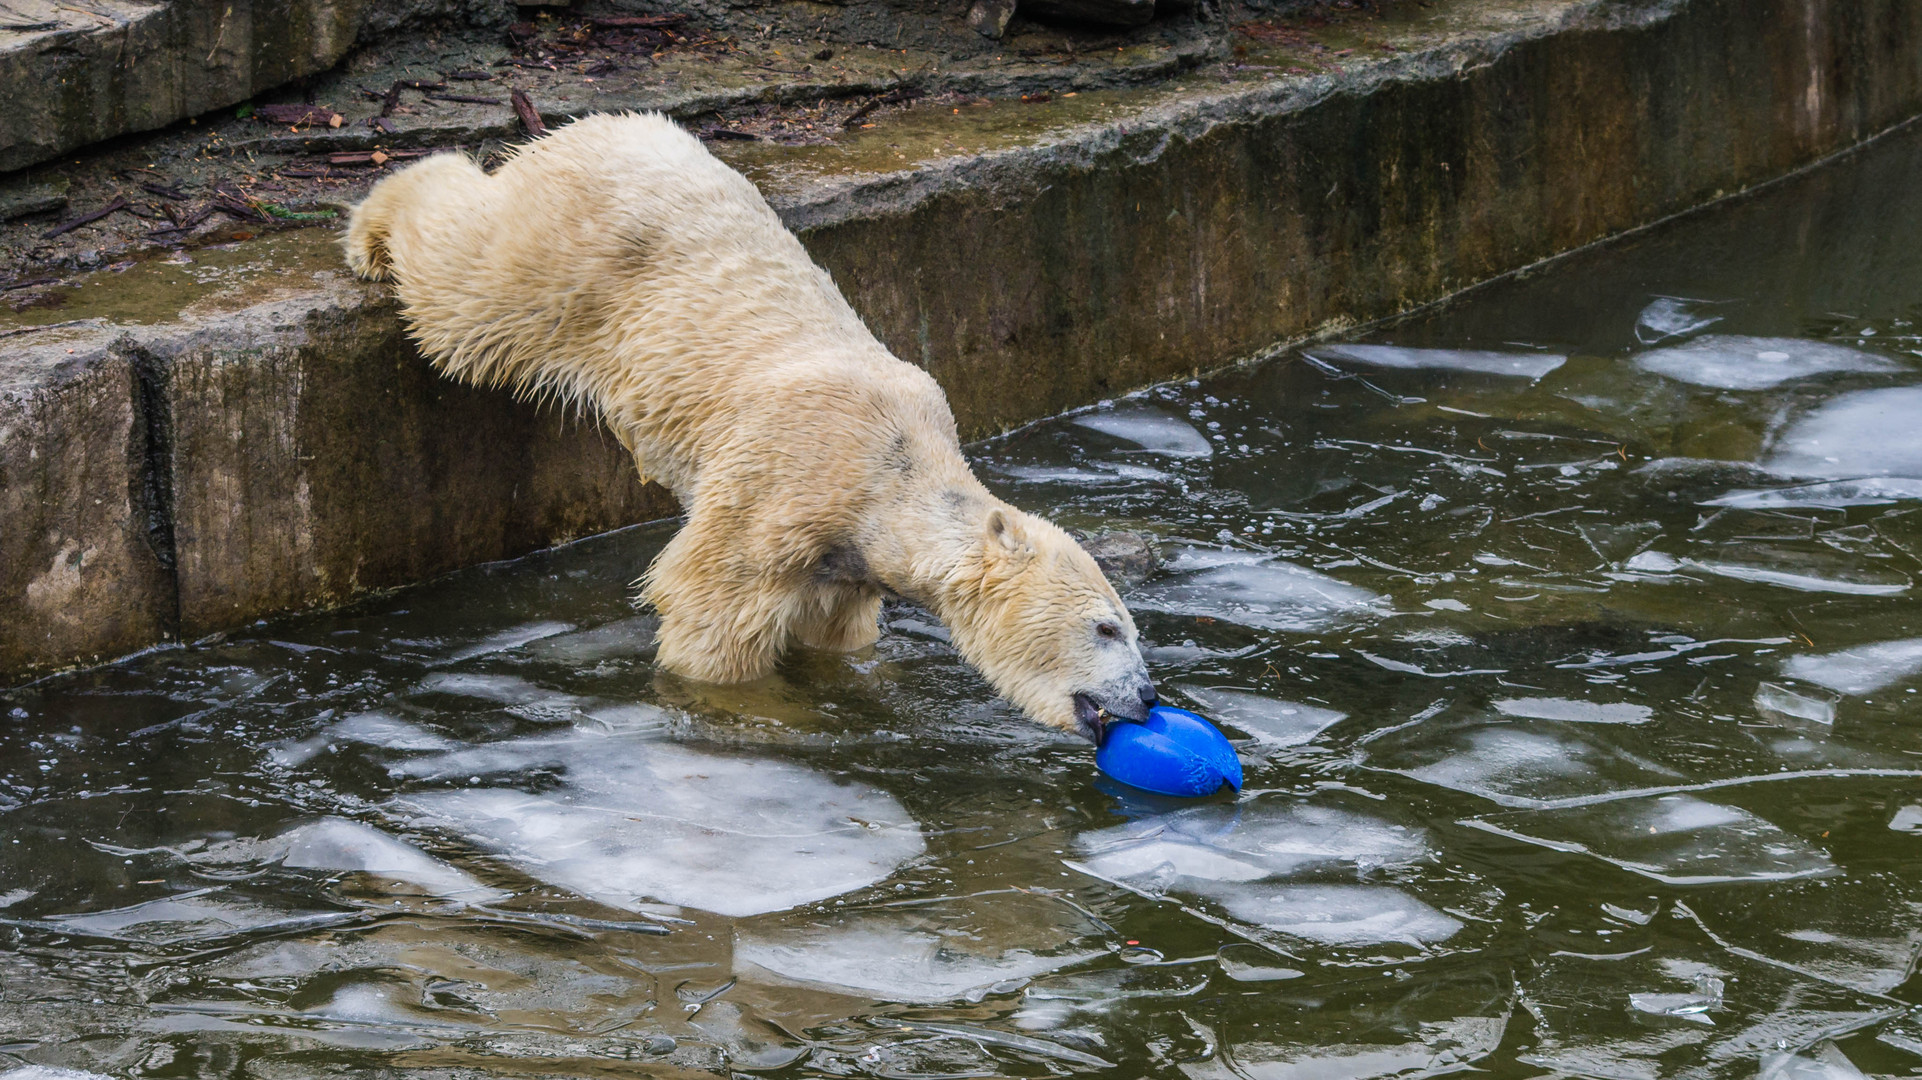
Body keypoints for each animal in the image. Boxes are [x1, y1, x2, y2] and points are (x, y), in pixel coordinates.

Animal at [345, 111, 1153, 730]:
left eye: (1129, 626)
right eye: (1107, 626)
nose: (1148, 697)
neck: (894, 471)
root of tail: (602, 126)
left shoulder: (845, 559)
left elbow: (832, 630)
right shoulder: (785, 481)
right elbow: (709, 604)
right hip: (567, 255)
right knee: (465, 290)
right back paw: (373, 231)